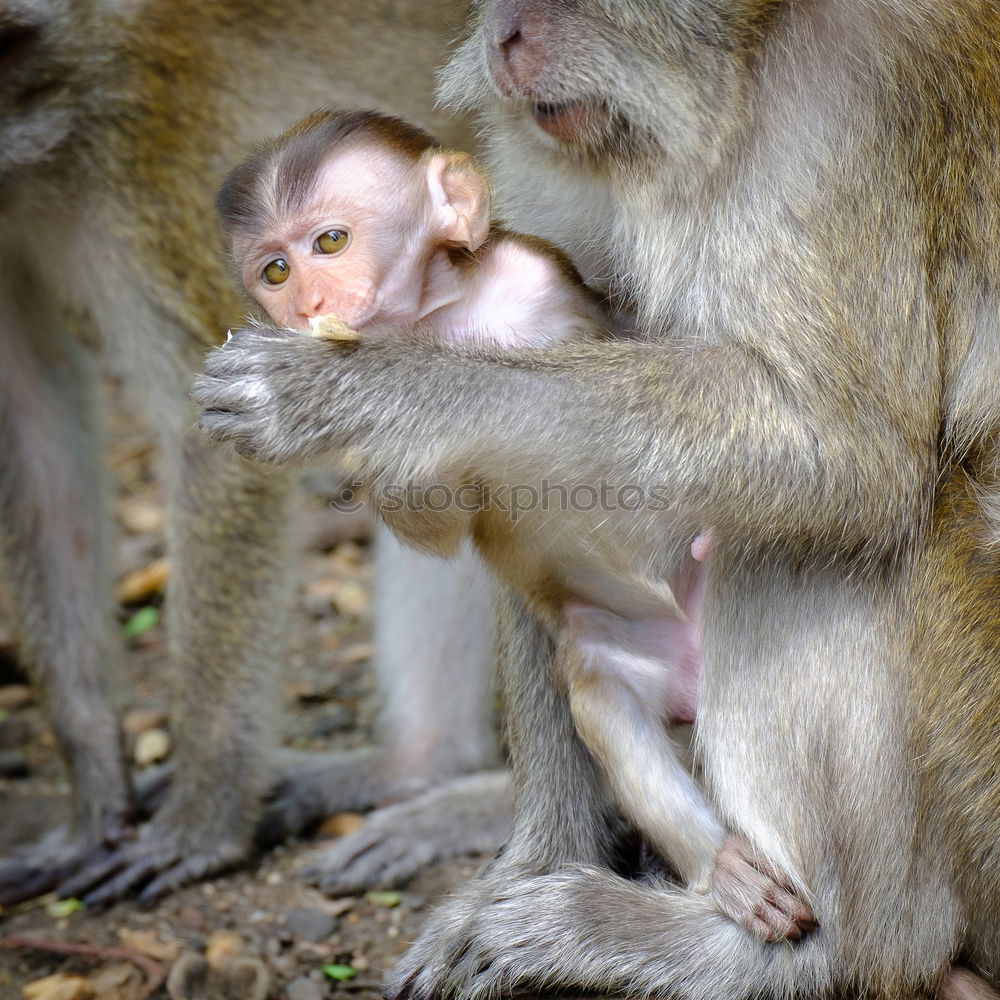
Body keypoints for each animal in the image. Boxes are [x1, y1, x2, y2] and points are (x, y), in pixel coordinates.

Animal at [0, 0, 508, 912]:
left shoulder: (140, 159)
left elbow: (214, 441)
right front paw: (92, 792)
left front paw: (202, 818)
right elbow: (28, 421)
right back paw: (416, 764)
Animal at [217, 105, 812, 940]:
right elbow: (438, 525)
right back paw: (722, 866)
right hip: (620, 655)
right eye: (274, 270)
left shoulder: (540, 275)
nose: (305, 304)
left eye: (328, 242)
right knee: (607, 708)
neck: (439, 320)